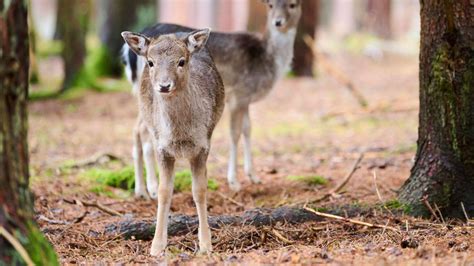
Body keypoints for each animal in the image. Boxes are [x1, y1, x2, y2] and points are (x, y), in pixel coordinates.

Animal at [120, 28, 224, 255]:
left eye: (181, 61)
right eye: (151, 62)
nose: (164, 85)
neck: (180, 136)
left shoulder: (202, 146)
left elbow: (199, 191)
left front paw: (206, 244)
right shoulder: (164, 149)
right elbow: (165, 192)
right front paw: (157, 246)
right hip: (146, 114)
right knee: (139, 132)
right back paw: (143, 189)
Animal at [124, 0, 302, 191]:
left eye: (293, 4)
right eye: (270, 5)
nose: (278, 22)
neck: (269, 62)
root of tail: (127, 52)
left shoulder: (245, 98)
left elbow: (248, 129)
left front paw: (254, 177)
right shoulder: (239, 95)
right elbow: (235, 133)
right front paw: (234, 182)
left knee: (136, 130)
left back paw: (140, 190)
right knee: (143, 131)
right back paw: (151, 187)